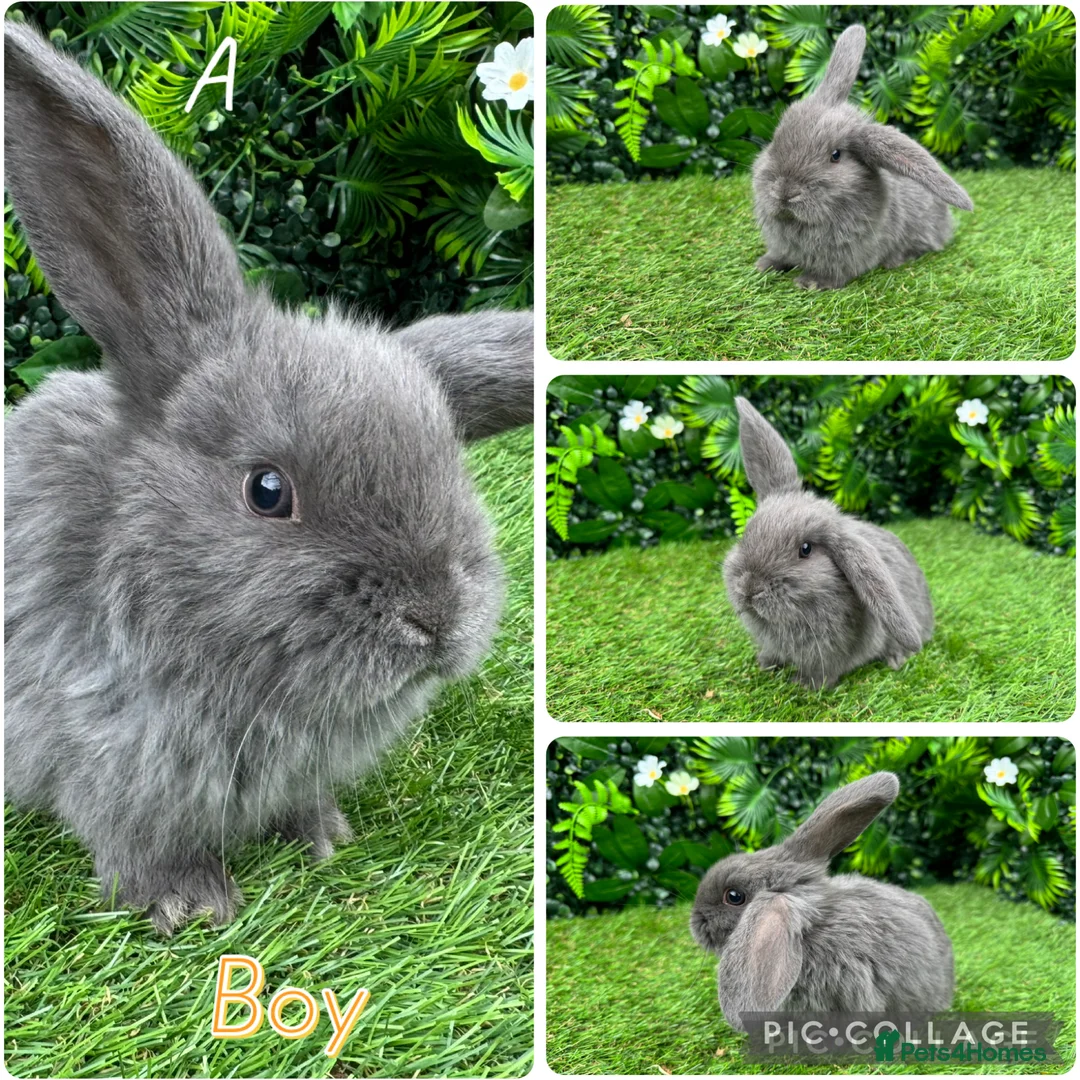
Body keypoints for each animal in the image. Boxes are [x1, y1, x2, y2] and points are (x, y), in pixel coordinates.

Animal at [3, 22, 533, 935]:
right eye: (267, 491)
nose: (435, 618)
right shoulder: (105, 761)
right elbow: (138, 847)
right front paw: (191, 906)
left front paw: (324, 838)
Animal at [723, 397, 933, 689]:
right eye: (747, 533)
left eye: (806, 549)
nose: (749, 588)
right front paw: (764, 664)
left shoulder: (832, 653)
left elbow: (823, 672)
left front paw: (804, 685)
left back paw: (895, 659)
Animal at [751, 24, 973, 290]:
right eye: (776, 139)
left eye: (836, 155)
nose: (785, 192)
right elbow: (780, 255)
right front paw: (765, 265)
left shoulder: (848, 254)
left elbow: (835, 273)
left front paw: (811, 282)